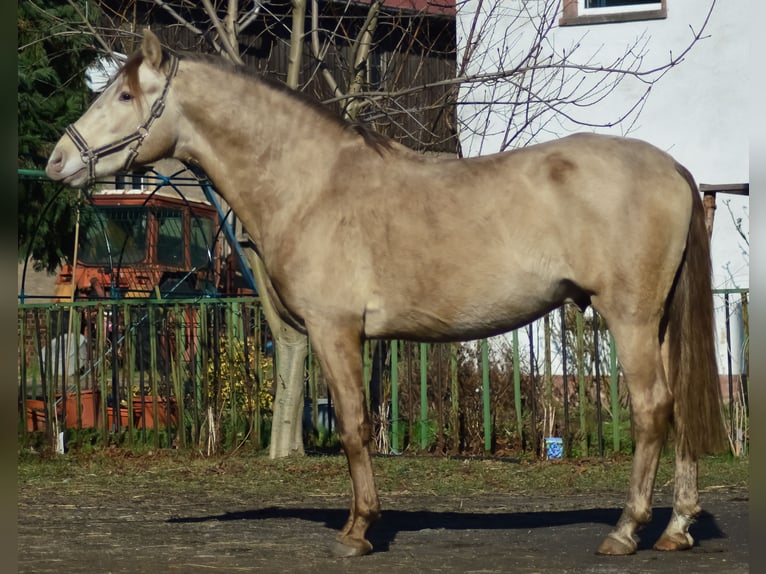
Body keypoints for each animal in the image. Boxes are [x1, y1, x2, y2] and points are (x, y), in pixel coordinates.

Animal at [45, 29, 728, 560]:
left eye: (125, 95)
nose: (56, 162)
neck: (312, 182)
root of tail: (672, 168)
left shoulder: (334, 329)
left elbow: (353, 427)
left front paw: (357, 531)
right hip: (659, 323)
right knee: (681, 407)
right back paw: (677, 528)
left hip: (631, 320)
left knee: (653, 409)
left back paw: (626, 531)